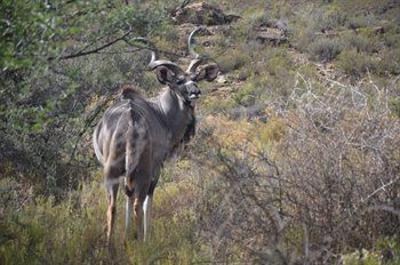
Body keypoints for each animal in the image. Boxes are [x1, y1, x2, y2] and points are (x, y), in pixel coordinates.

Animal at [93, 27, 219, 241]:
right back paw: (141, 242)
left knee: (112, 207)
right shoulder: (156, 167)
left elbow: (127, 198)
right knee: (138, 203)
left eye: (195, 78)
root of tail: (131, 119)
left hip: (111, 171)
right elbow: (147, 202)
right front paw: (144, 237)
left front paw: (126, 236)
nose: (195, 92)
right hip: (142, 170)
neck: (160, 113)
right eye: (179, 81)